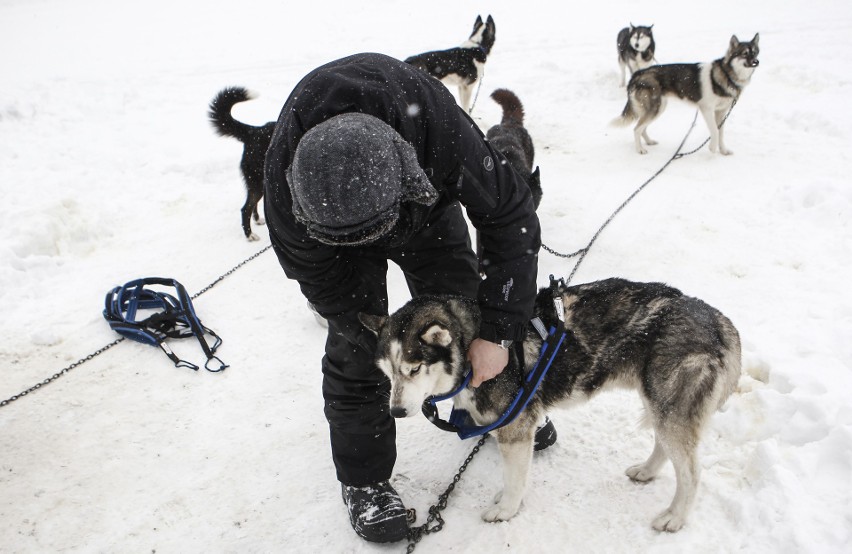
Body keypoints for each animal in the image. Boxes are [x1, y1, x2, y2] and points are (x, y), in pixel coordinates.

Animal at [358, 278, 740, 528]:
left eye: (413, 368)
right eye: (387, 372)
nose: (395, 411)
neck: (471, 346)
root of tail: (719, 321)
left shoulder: (515, 430)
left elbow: (515, 479)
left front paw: (506, 509)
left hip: (670, 408)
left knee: (691, 473)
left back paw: (675, 516)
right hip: (658, 403)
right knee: (664, 446)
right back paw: (647, 471)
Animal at [616, 33, 764, 154]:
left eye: (755, 53)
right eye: (745, 53)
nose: (756, 62)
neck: (727, 74)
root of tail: (638, 74)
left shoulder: (721, 112)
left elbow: (720, 132)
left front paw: (723, 151)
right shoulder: (706, 109)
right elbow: (715, 131)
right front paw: (712, 148)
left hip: (658, 109)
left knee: (642, 128)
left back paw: (649, 142)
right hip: (655, 109)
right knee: (637, 129)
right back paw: (640, 149)